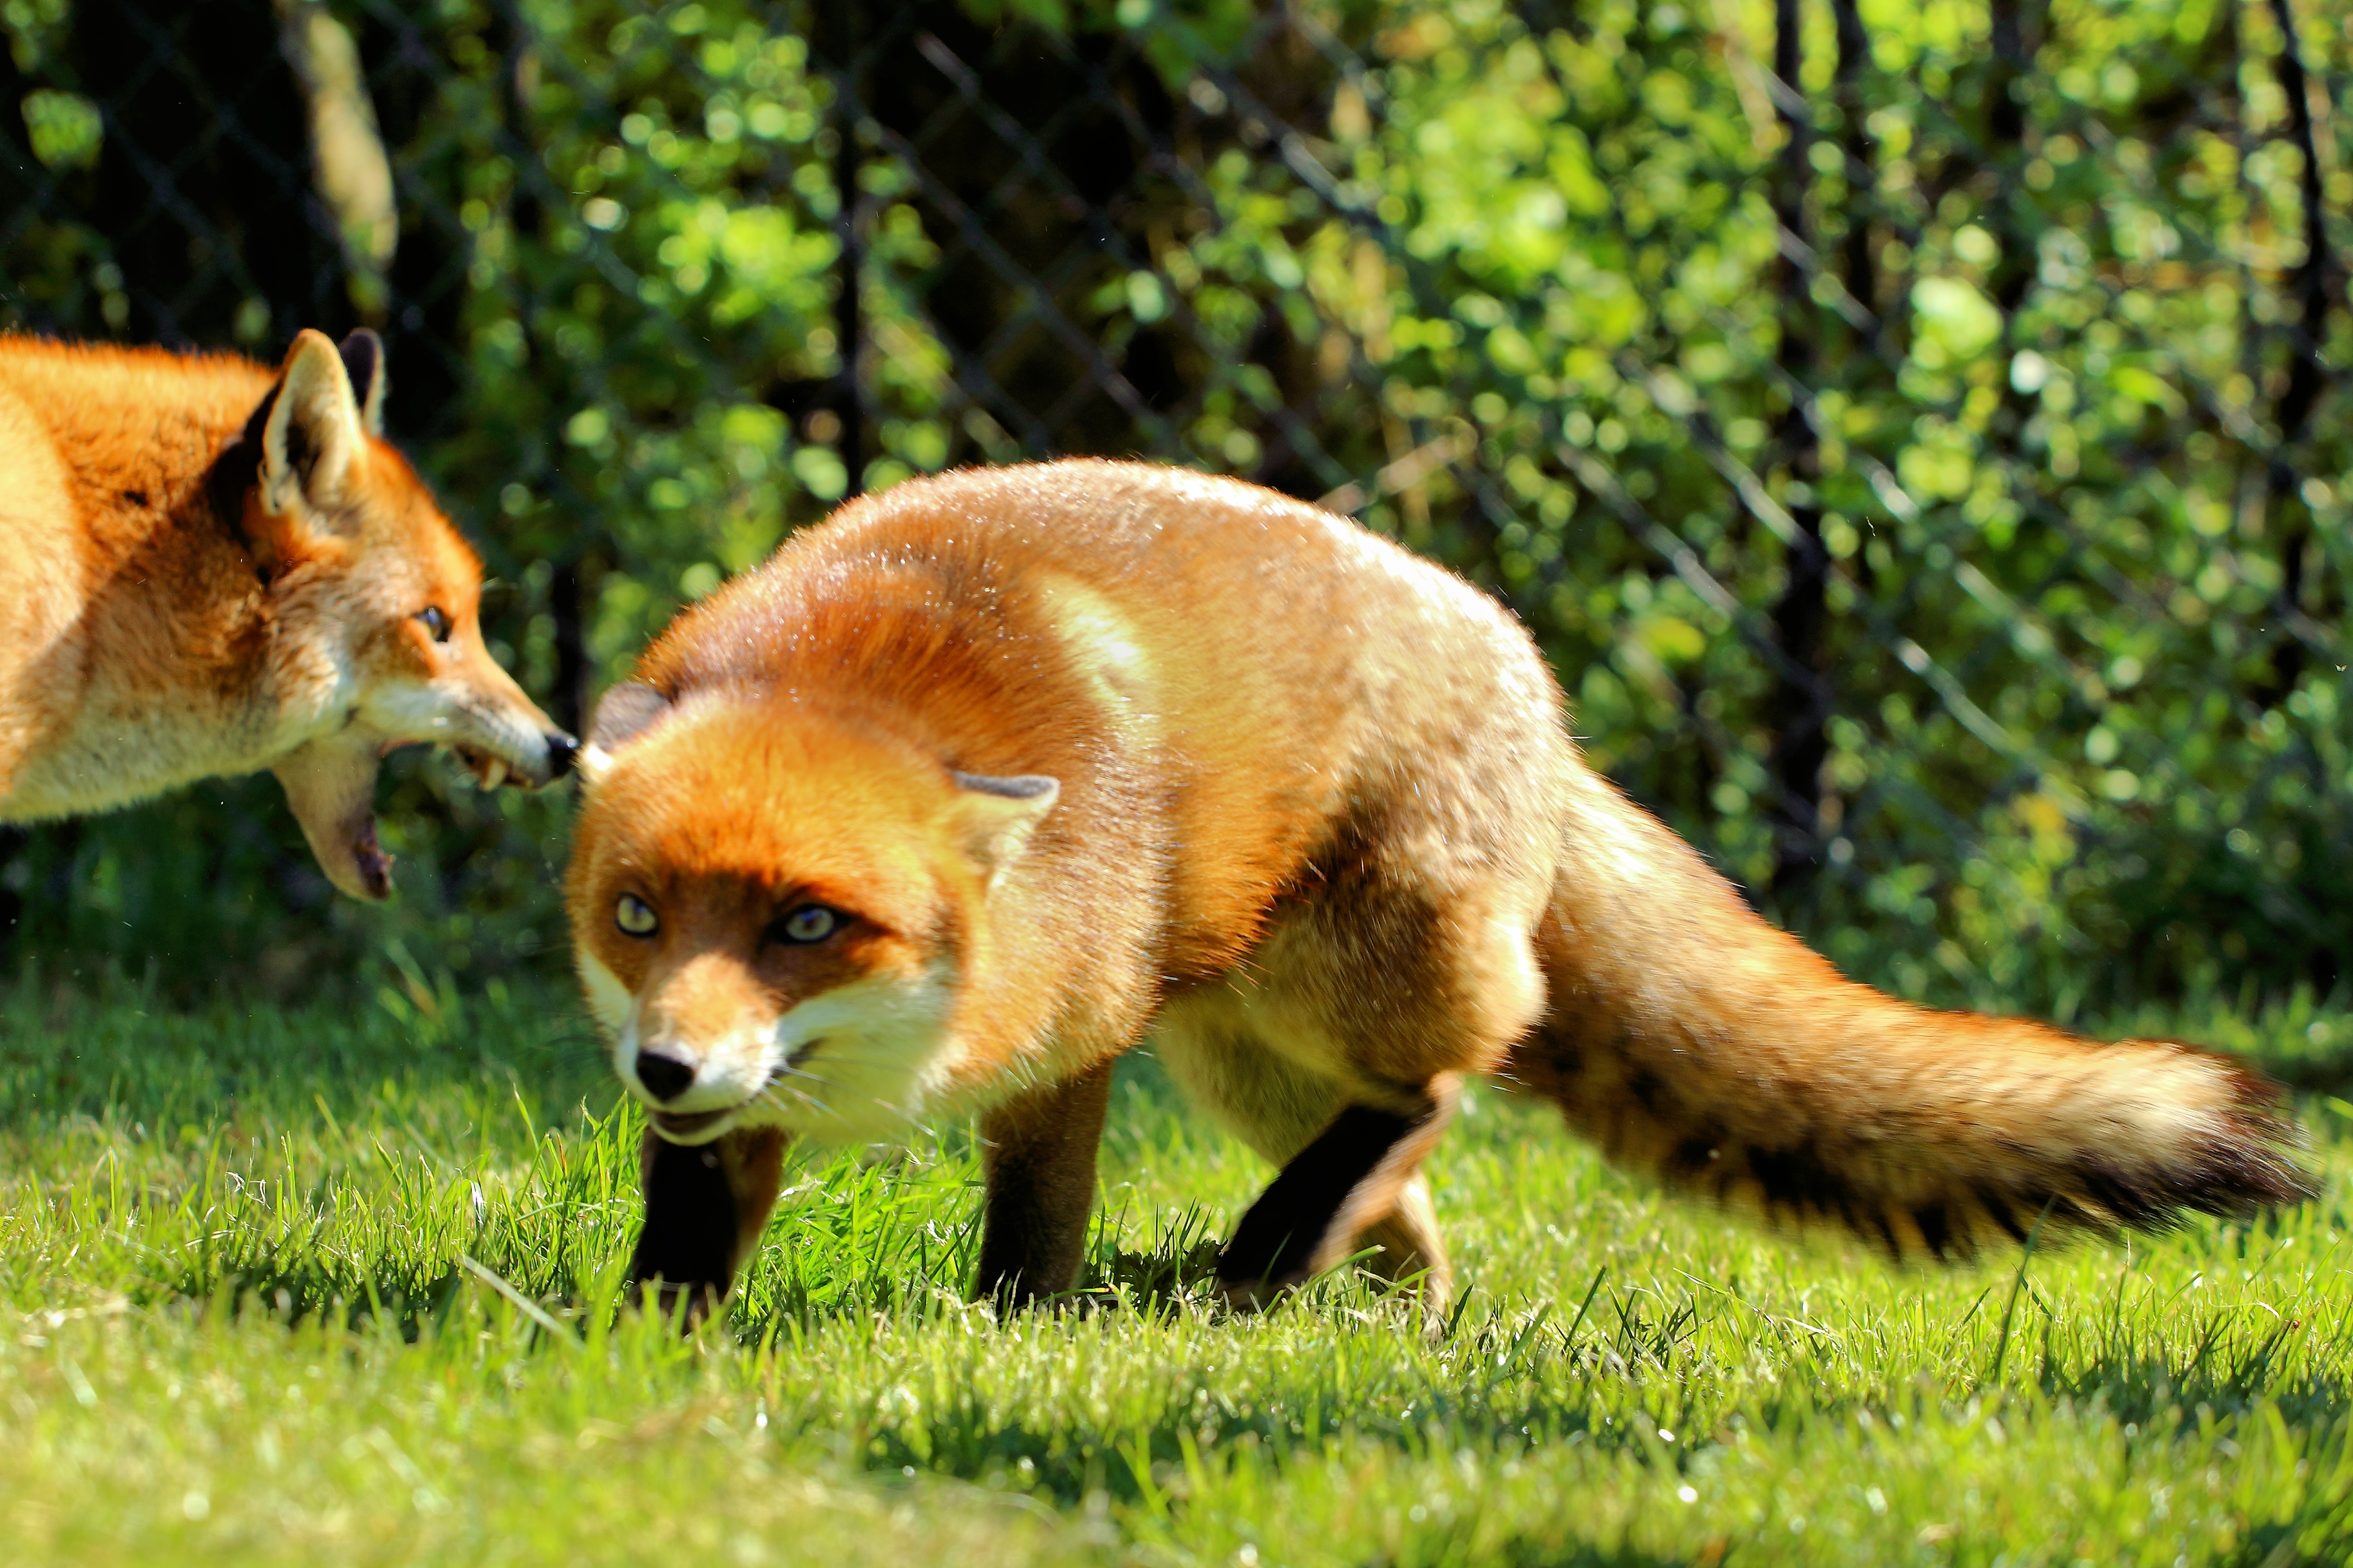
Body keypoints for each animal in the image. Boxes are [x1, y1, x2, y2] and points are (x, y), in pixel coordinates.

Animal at [574, 460, 2315, 1316]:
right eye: (636, 915)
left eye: (810, 922)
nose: (660, 1061)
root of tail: (1533, 677)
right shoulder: (732, 1114)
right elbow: (690, 1229)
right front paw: (654, 1344)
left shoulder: (1083, 1025)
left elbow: (1033, 1227)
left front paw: (1010, 1329)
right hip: (1244, 1054)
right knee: (1405, 1187)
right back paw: (1355, 1299)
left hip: (1341, 980)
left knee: (1447, 1083)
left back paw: (1277, 1265)